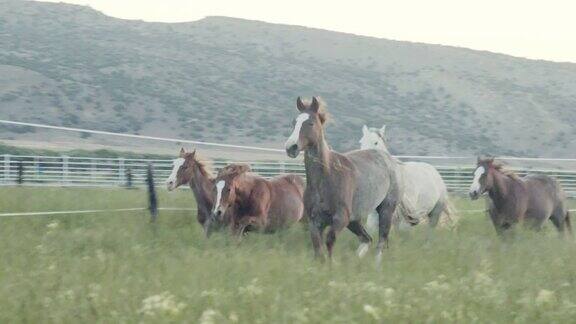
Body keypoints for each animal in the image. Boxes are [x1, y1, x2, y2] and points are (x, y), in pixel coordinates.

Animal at [284, 95, 400, 260]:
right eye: (294, 122)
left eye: (310, 123)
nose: (291, 147)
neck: (325, 179)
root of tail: (387, 158)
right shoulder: (315, 222)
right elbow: (318, 251)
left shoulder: (340, 219)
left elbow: (329, 242)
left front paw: (332, 265)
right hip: (355, 220)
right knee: (367, 239)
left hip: (385, 210)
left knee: (380, 242)